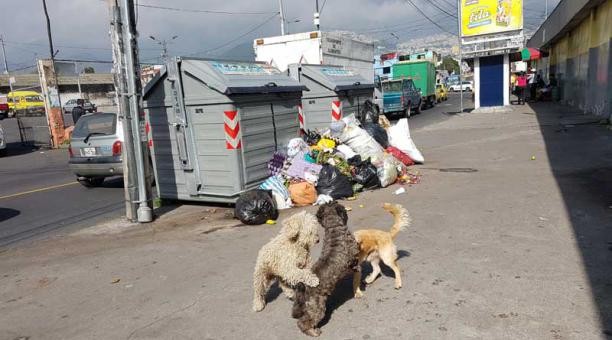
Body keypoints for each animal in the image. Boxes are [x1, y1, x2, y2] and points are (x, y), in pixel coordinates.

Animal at [290, 202, 360, 338]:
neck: (334, 228)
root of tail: (304, 287)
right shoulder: (353, 253)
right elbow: (355, 260)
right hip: (317, 308)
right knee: (304, 322)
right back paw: (313, 332)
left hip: (305, 305)